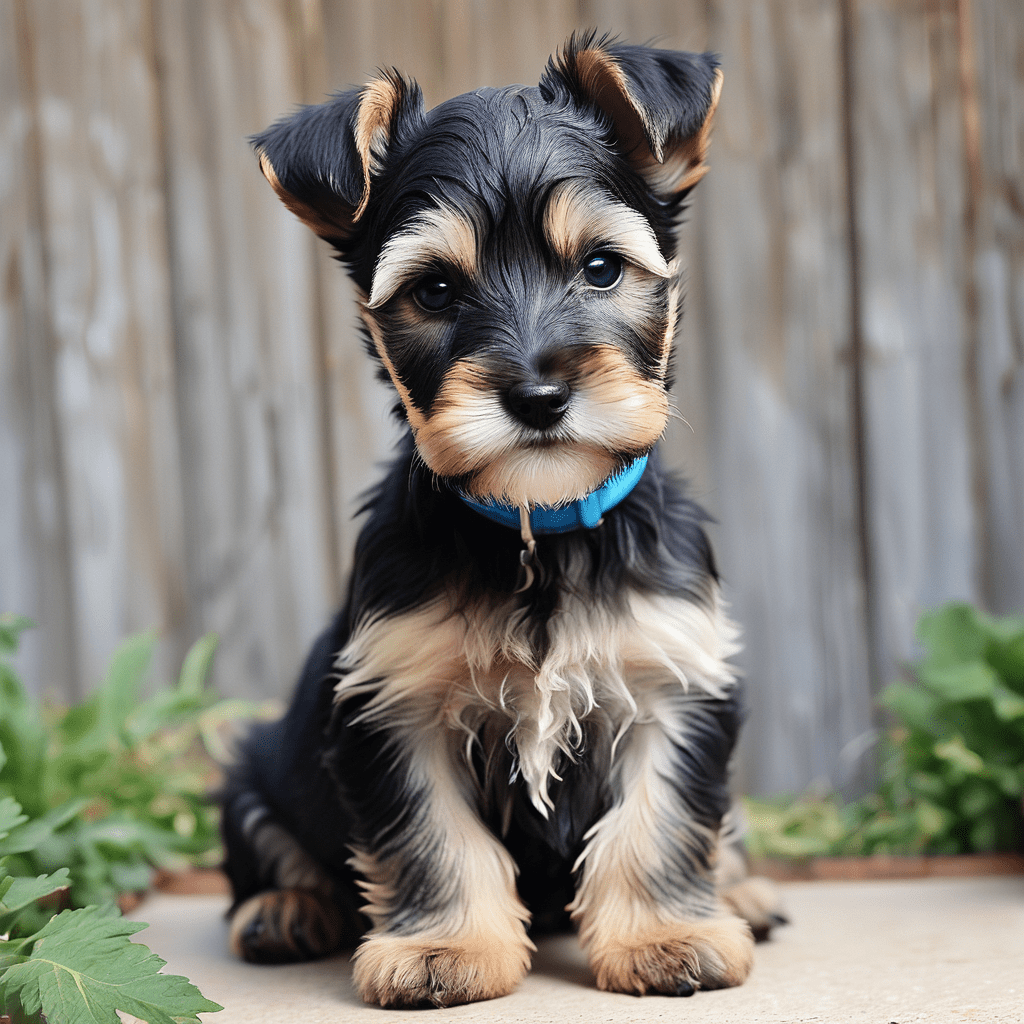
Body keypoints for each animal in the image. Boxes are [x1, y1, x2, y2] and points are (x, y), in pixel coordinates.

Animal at [220, 32, 778, 1007]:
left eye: (601, 267)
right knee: (271, 839)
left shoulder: (675, 671)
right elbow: (433, 832)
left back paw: (741, 891)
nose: (538, 394)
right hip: (256, 763)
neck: (536, 522)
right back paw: (284, 909)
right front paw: (444, 951)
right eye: (437, 291)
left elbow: (662, 815)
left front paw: (666, 934)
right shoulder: (393, 696)